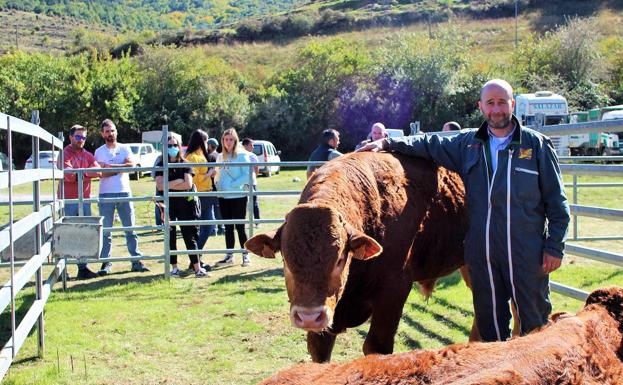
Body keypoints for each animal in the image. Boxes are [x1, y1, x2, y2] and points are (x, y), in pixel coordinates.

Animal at [246, 152, 470, 362]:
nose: (309, 317)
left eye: (339, 260)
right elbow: (319, 348)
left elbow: (376, 347)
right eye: (285, 260)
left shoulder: (394, 290)